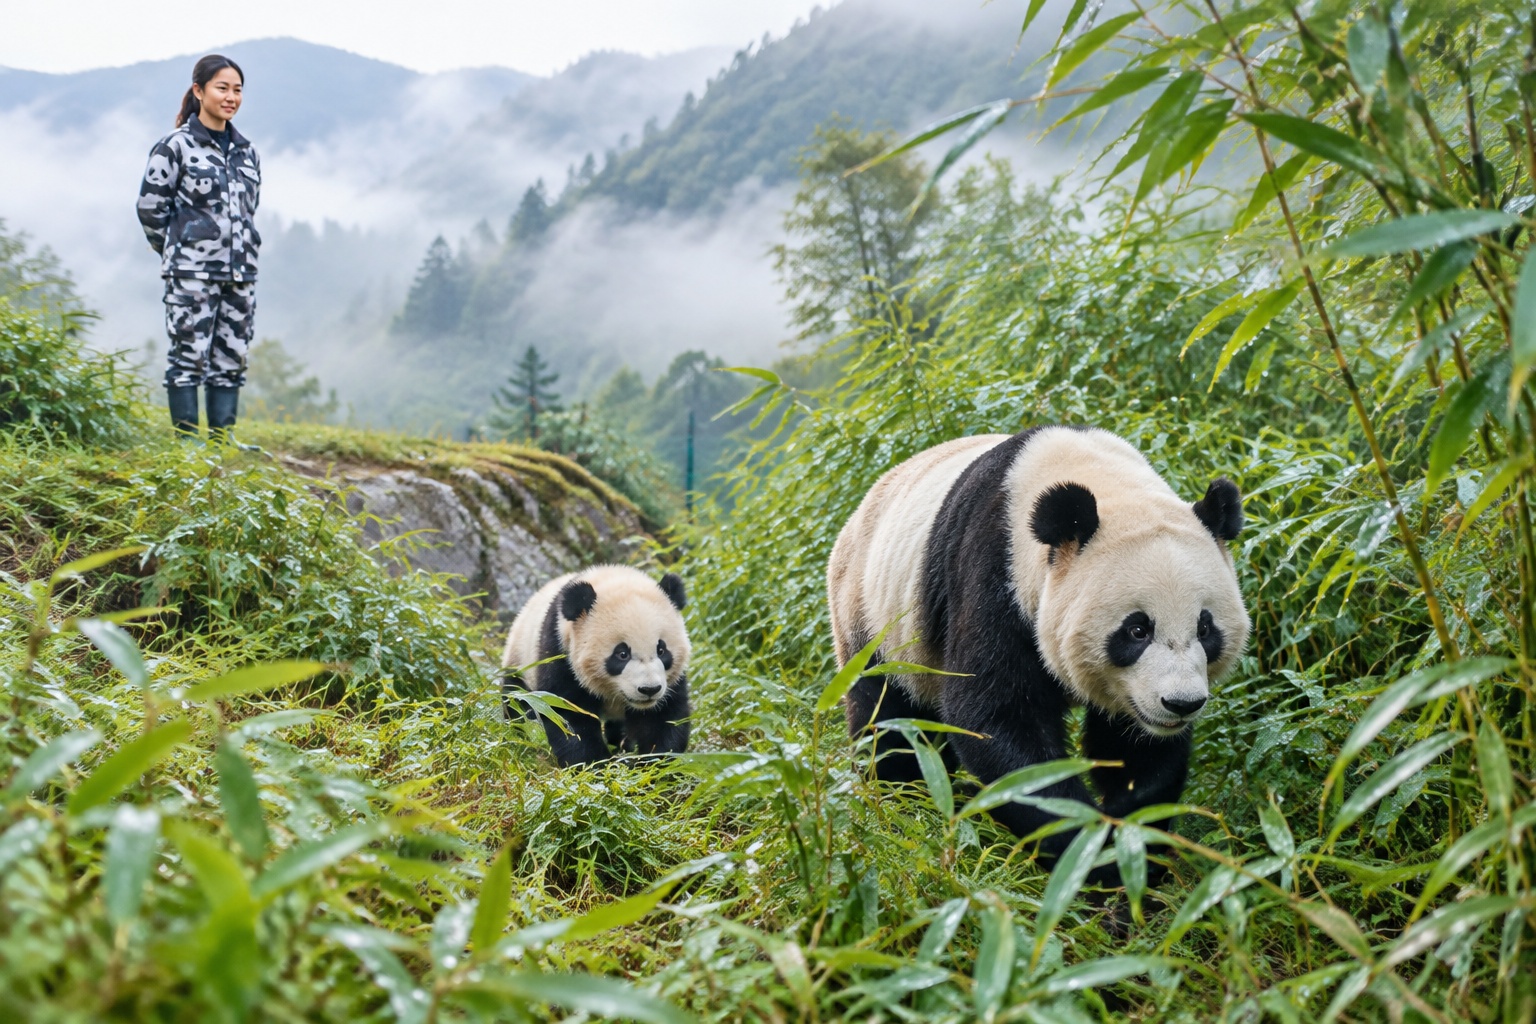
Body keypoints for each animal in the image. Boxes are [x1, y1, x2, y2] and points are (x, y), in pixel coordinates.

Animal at [502, 565, 691, 766]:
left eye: (661, 650)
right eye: (622, 654)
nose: (649, 689)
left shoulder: (669, 684)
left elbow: (663, 718)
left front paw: (655, 763)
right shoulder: (559, 653)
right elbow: (568, 715)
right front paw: (596, 765)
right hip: (521, 663)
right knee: (519, 705)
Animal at [827, 425, 1249, 877]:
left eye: (1205, 628)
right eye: (1137, 630)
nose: (1181, 703)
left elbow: (1134, 752)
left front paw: (1135, 848)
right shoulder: (996, 575)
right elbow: (997, 721)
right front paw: (1088, 855)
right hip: (876, 623)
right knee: (891, 723)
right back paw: (905, 805)